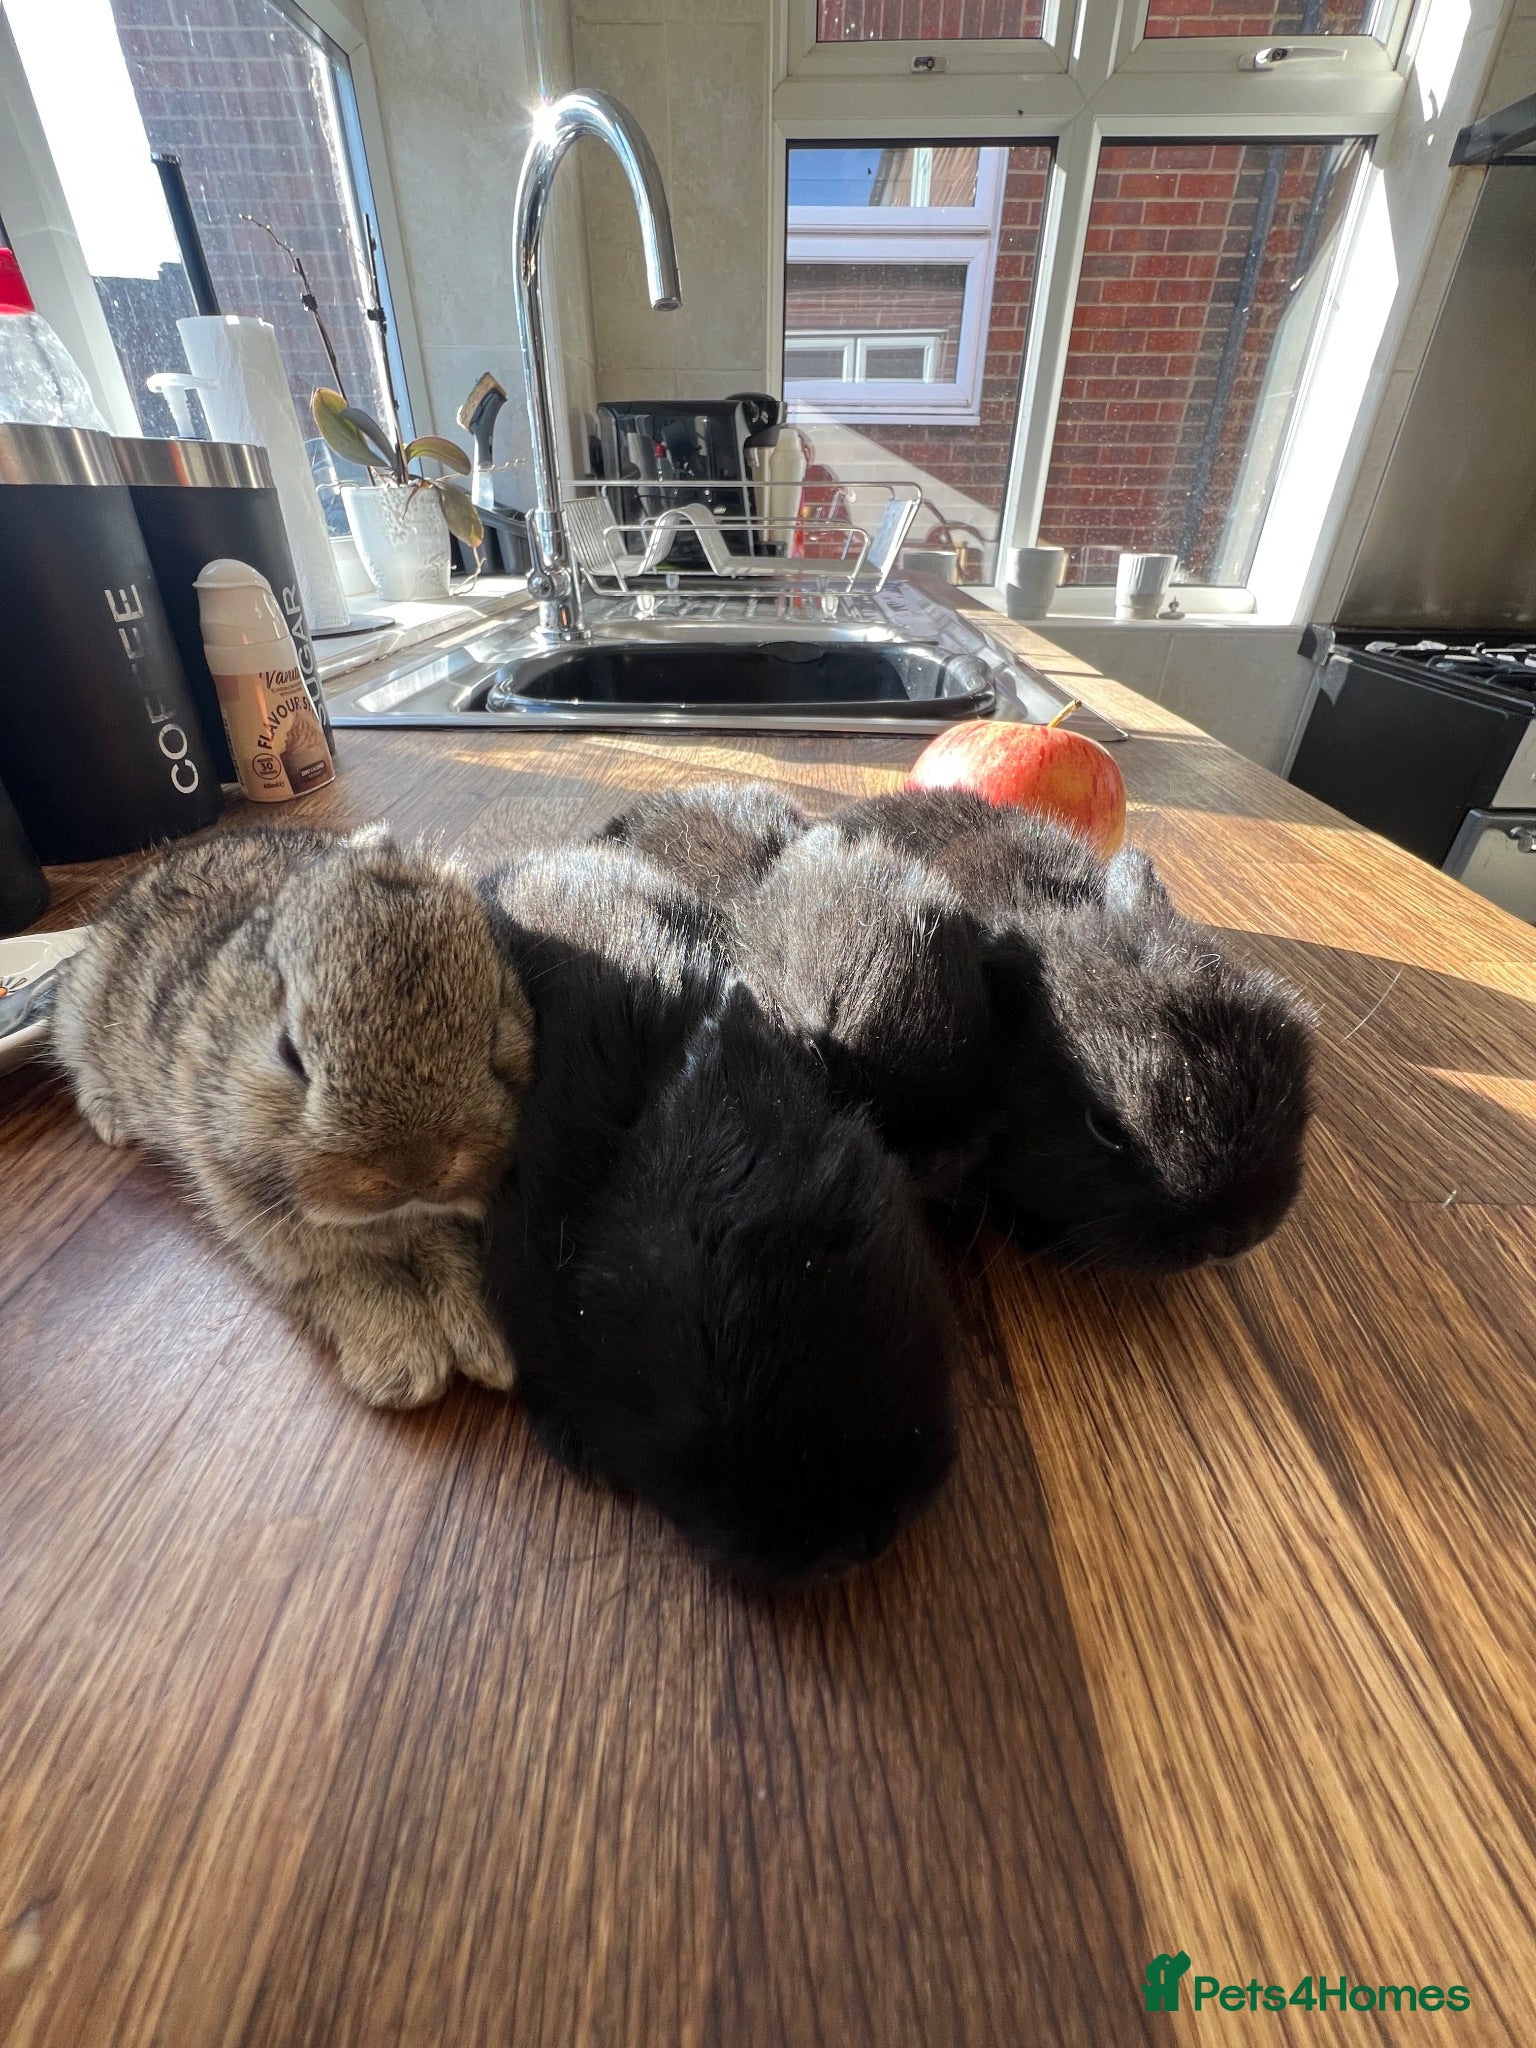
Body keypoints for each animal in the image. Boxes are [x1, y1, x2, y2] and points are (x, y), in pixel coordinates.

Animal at [53, 824, 536, 1408]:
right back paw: (113, 1124)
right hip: (79, 1017)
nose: (413, 1167)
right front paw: (402, 1367)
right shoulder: (261, 1215)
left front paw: (489, 1346)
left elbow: (450, 1250)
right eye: (289, 1053)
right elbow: (345, 1273)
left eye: (496, 1034)